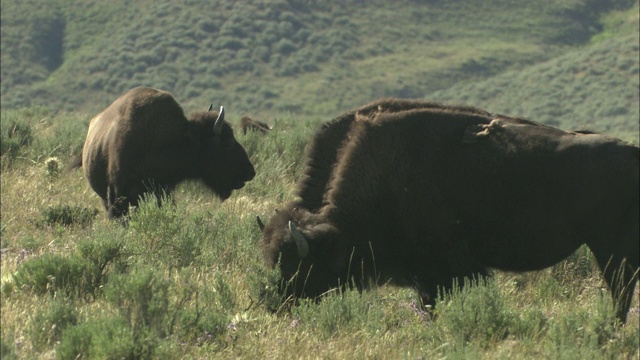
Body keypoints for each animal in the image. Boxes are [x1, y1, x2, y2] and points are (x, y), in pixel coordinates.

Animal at [262, 98, 640, 324]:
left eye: (300, 266)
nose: (278, 303)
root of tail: (632, 152)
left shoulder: (446, 270)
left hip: (609, 247)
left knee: (621, 289)